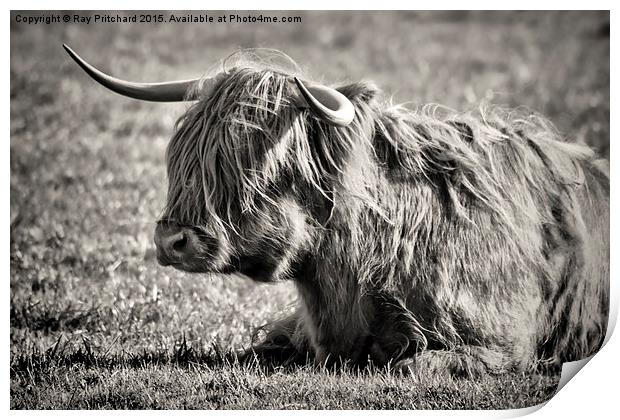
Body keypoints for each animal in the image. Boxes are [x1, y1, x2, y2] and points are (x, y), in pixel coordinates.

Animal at [65, 46, 608, 378]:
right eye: (181, 156)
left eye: (256, 161)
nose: (171, 240)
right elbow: (261, 346)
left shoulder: (505, 342)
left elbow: (410, 364)